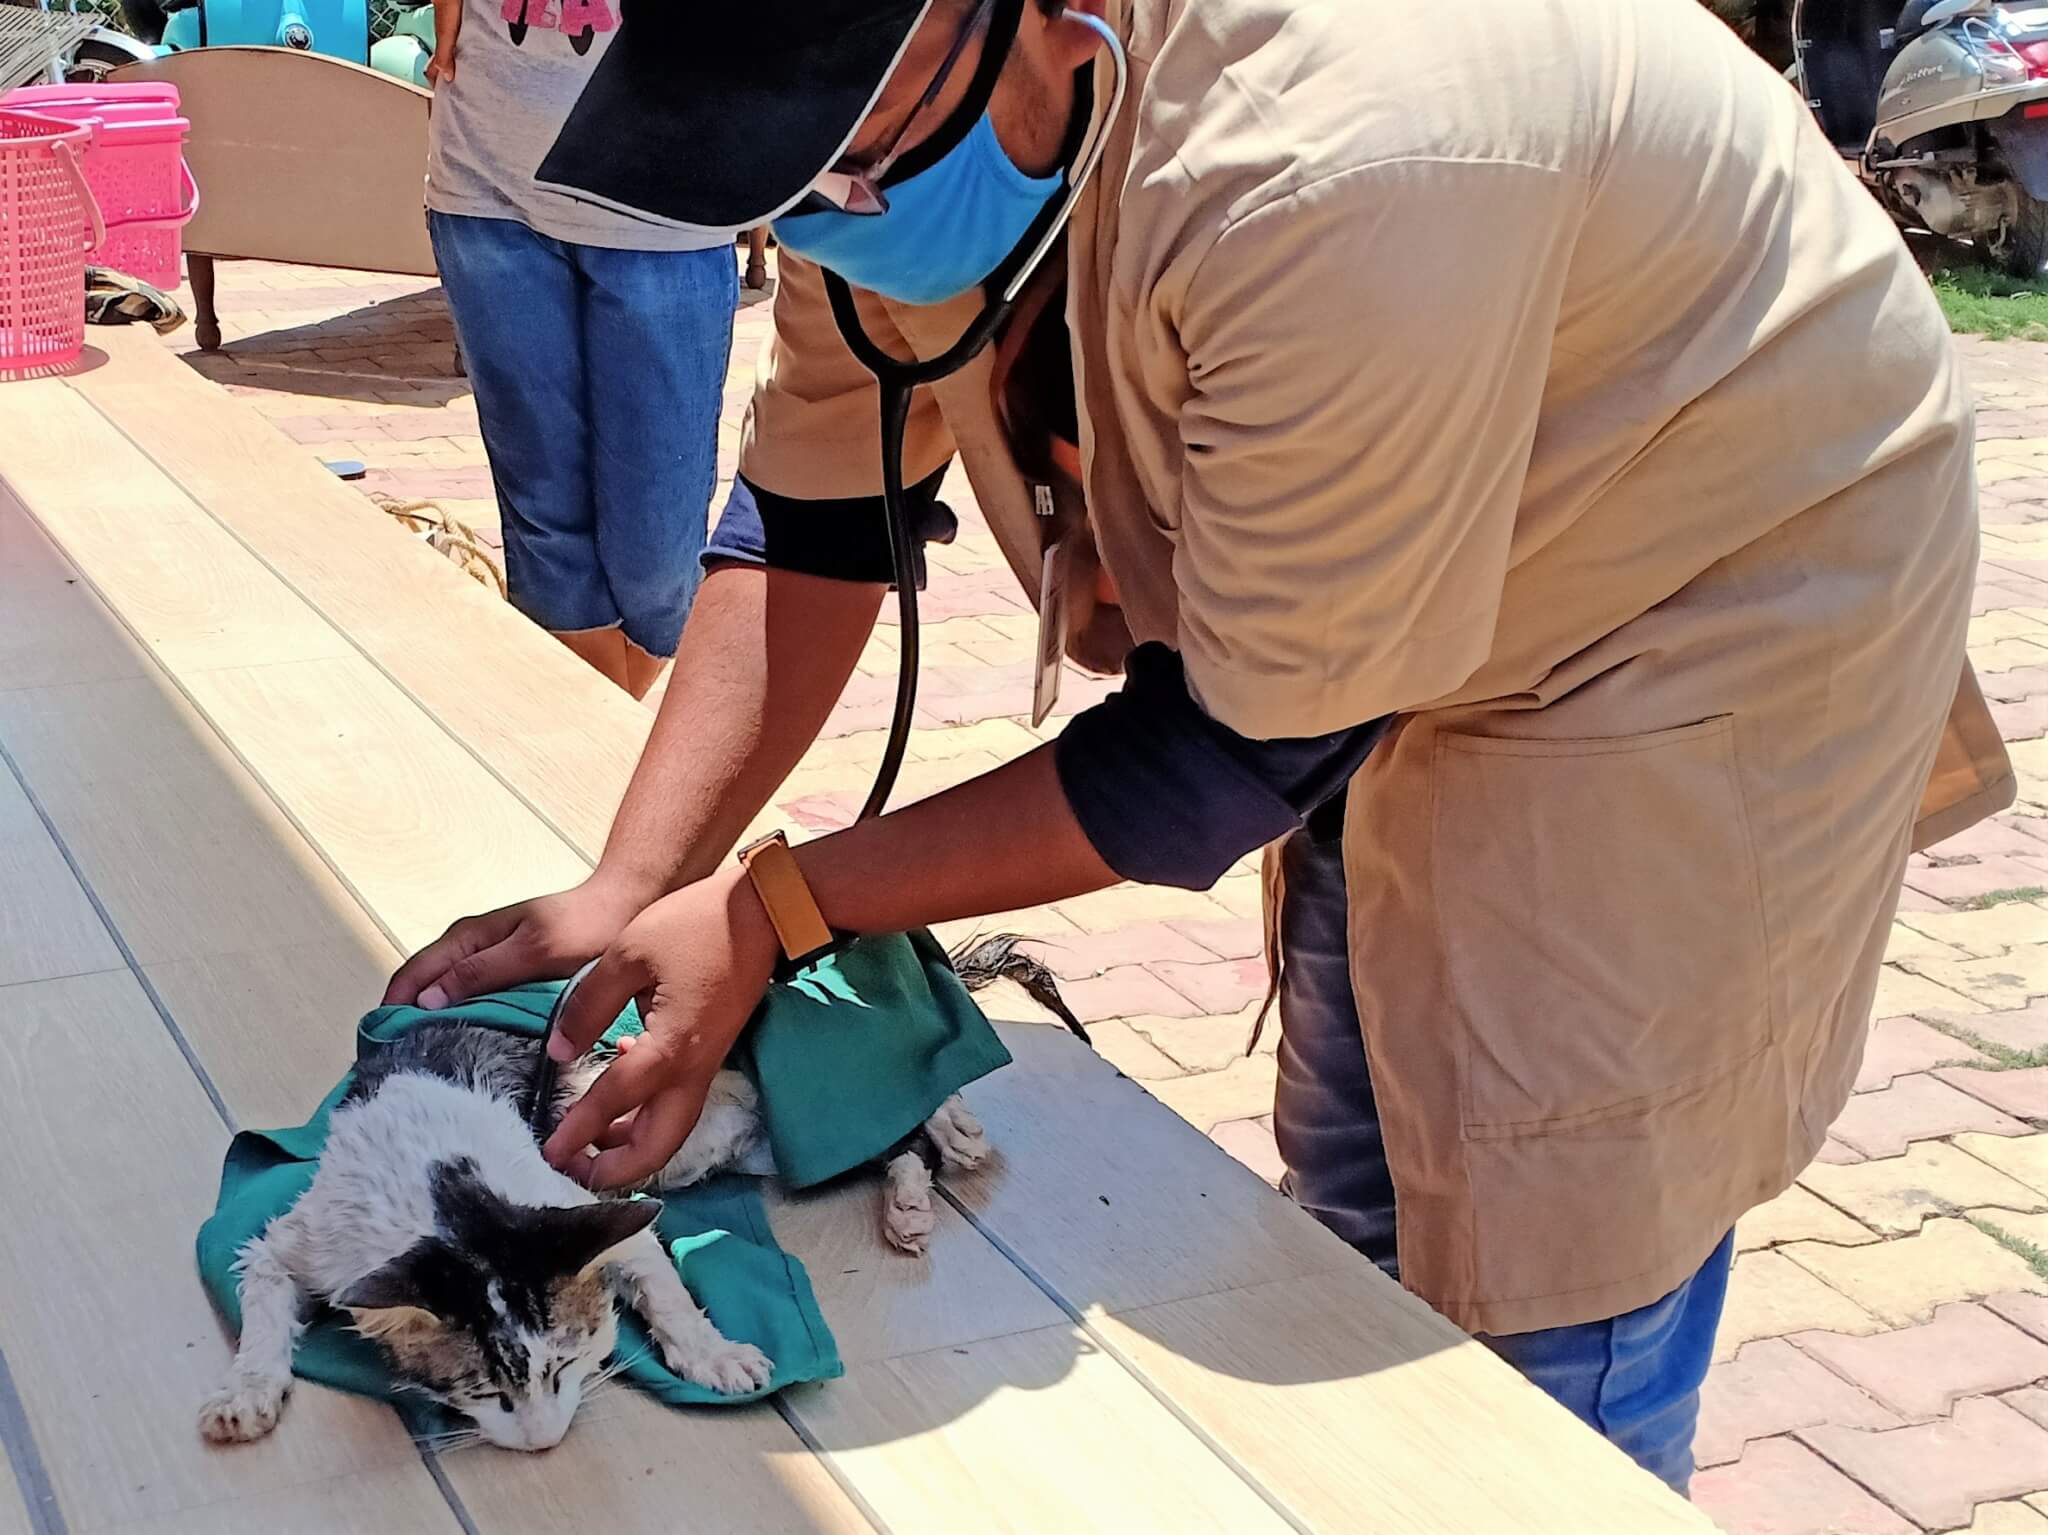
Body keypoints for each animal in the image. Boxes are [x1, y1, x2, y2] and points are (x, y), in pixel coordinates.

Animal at [201, 1023, 991, 1457]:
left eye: (565, 1365)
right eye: (479, 1389)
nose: (545, 1443)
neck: (442, 1182)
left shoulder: (580, 1206)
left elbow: (664, 1287)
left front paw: (715, 1356)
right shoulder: (307, 1239)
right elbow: (263, 1301)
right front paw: (247, 1392)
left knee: (891, 1116)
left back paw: (936, 1158)